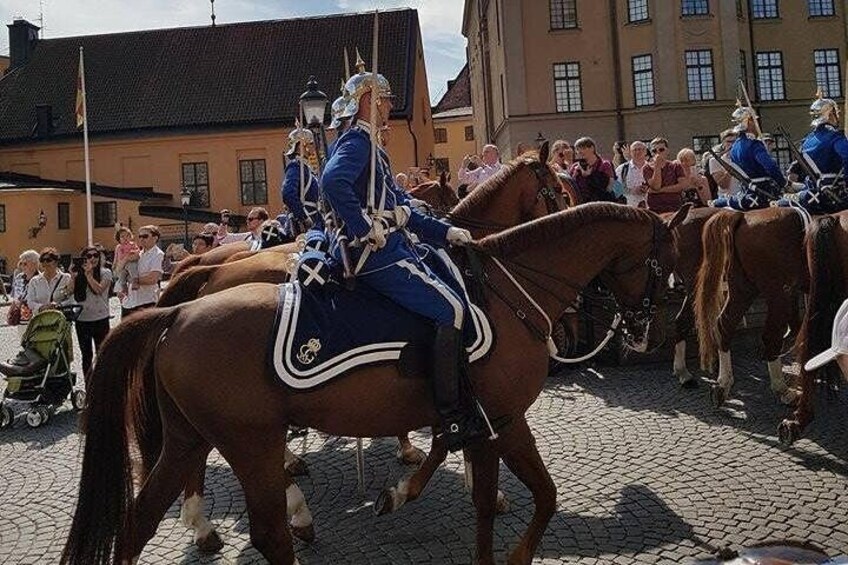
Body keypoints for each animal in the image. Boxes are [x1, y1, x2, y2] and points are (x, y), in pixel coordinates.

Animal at [61, 204, 684, 564]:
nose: (655, 328)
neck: (507, 293)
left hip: (191, 438)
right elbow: (507, 500)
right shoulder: (497, 421)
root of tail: (179, 312)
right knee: (269, 534)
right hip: (250, 442)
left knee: (139, 522)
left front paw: (403, 489)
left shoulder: (489, 421)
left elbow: (517, 492)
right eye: (668, 259)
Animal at [700, 207, 812, 406]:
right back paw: (782, 388)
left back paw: (723, 384)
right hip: (778, 295)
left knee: (723, 326)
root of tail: (742, 216)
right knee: (771, 336)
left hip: (743, 290)